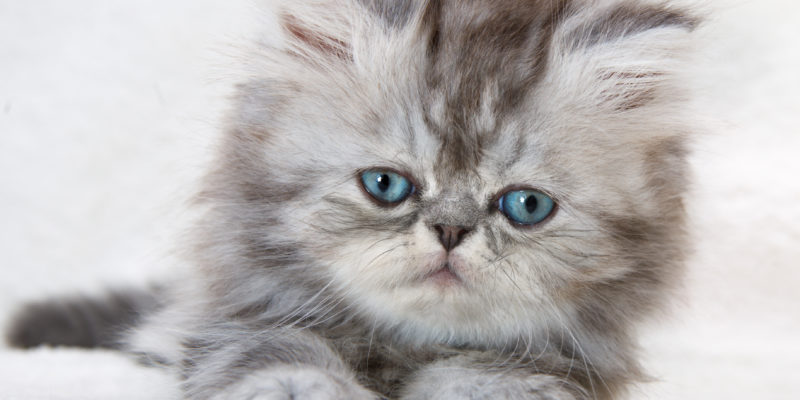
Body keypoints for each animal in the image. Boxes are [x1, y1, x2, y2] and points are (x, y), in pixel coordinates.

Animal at [6, 1, 696, 398]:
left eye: (525, 206)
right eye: (387, 185)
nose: (450, 232)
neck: (404, 346)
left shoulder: (557, 361)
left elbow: (492, 374)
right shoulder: (242, 323)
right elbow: (283, 357)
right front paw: (299, 389)